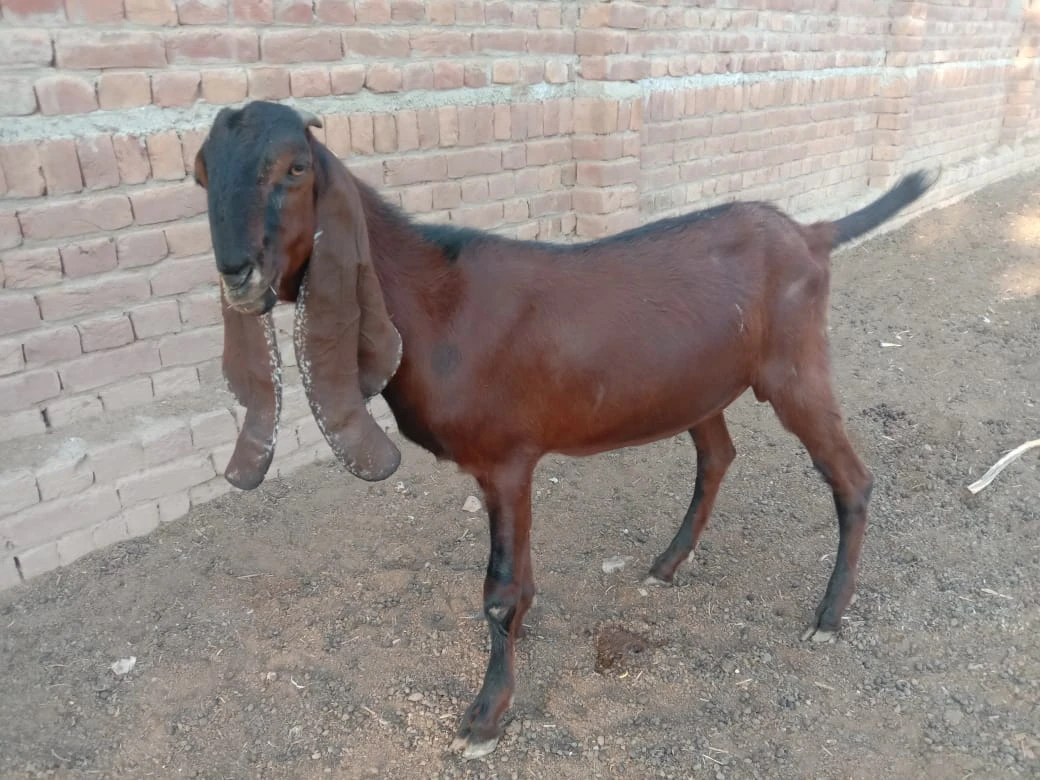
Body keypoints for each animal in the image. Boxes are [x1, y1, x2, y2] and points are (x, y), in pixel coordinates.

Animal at [195, 100, 944, 761]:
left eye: (295, 167)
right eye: (202, 171)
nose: (238, 273)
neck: (440, 303)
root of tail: (810, 233)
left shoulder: (505, 460)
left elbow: (499, 595)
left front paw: (485, 717)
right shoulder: (511, 466)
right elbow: (519, 583)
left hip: (795, 366)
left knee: (851, 477)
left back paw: (829, 616)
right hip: (698, 383)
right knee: (718, 454)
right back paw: (667, 564)